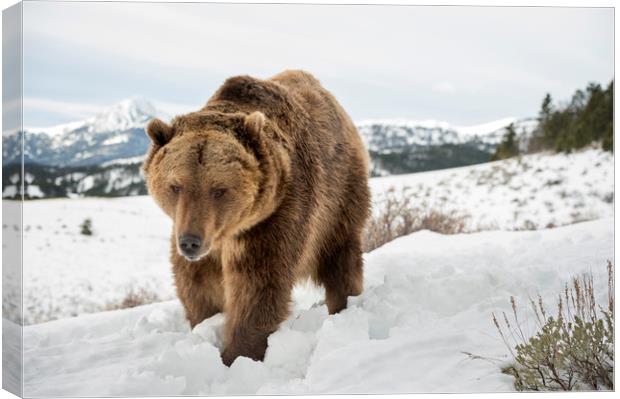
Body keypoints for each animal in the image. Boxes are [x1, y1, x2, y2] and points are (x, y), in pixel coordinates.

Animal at [143, 70, 370, 368]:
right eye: (175, 186)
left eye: (219, 189)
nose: (191, 242)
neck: (227, 233)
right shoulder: (194, 237)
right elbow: (198, 286)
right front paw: (206, 328)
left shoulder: (273, 219)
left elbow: (257, 288)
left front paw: (237, 355)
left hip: (339, 198)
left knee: (341, 260)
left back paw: (343, 309)